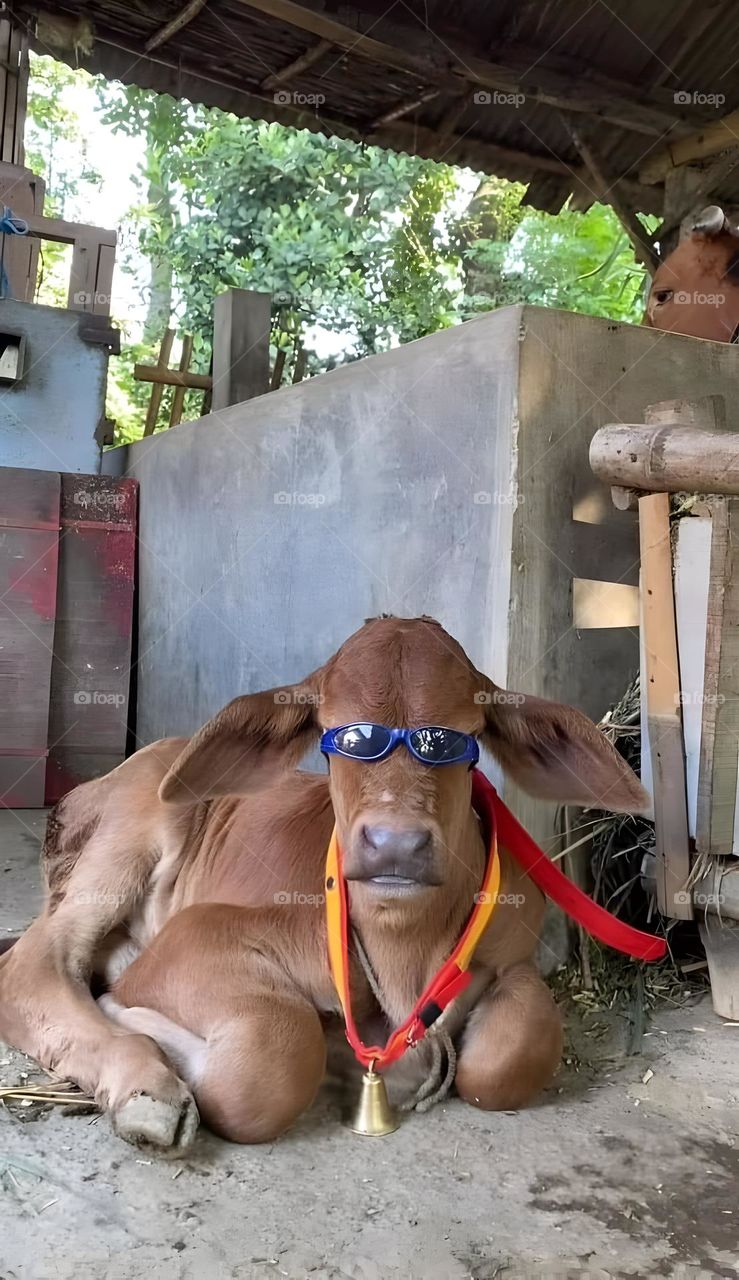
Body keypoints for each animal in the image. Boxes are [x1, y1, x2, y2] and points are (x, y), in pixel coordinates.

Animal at [0, 616, 646, 1152]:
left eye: (458, 740)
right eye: (343, 738)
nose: (395, 843)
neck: (405, 948)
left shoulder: (516, 956)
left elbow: (508, 1057)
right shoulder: (194, 936)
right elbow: (271, 1062)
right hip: (120, 849)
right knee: (34, 967)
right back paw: (145, 1088)